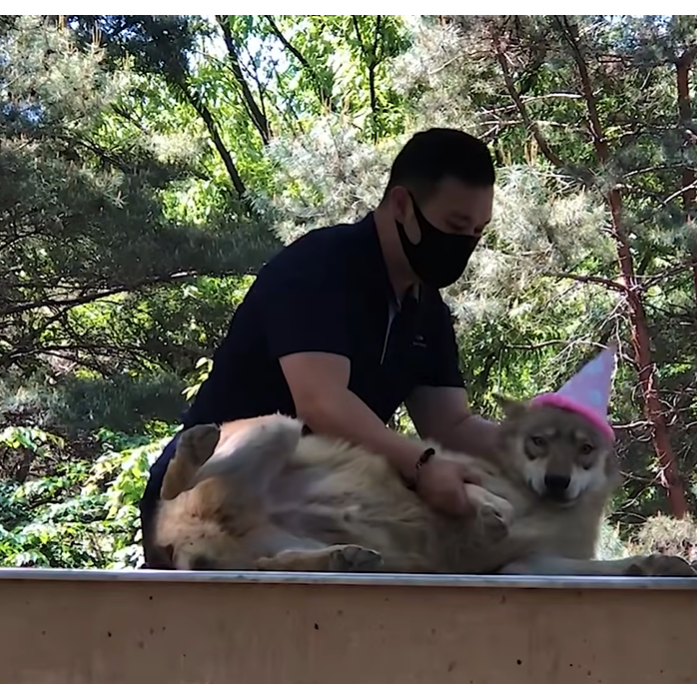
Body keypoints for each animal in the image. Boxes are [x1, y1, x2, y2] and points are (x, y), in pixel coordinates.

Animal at [150, 399, 695, 577]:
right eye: (538, 442)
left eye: (584, 449)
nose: (557, 482)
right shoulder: (453, 468)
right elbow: (472, 489)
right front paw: (492, 510)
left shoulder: (526, 566)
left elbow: (613, 566)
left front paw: (657, 564)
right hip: (280, 427)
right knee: (178, 480)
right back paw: (191, 451)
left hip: (278, 542)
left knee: (274, 563)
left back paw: (345, 558)